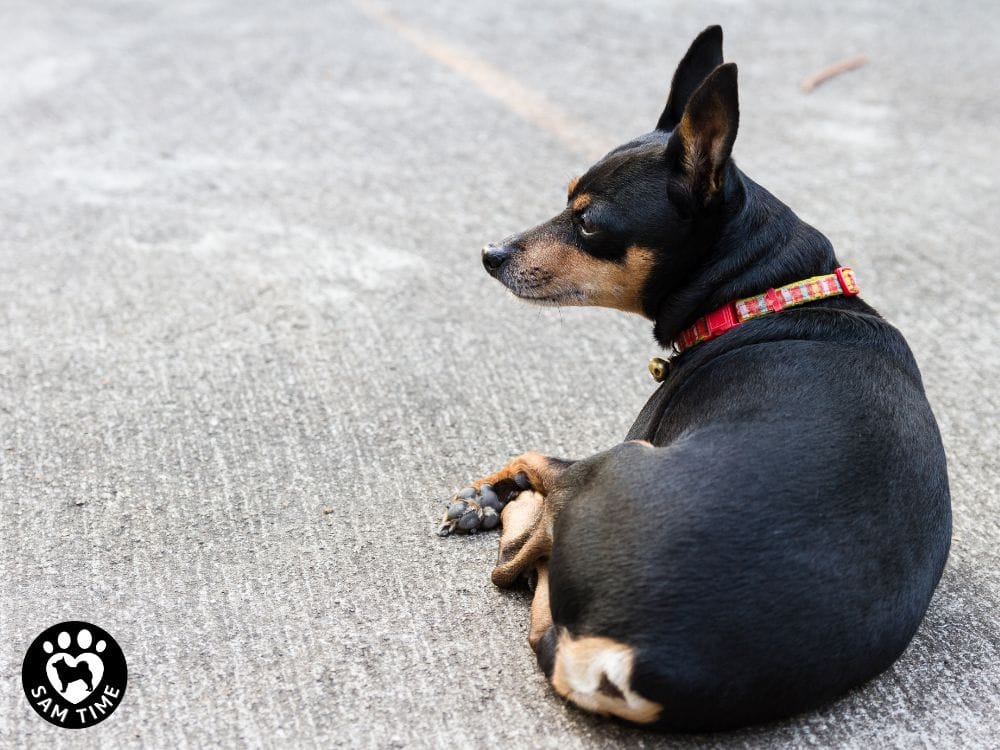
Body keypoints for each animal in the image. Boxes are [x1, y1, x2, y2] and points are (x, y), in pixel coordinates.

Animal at [440, 26, 952, 732]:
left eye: (588, 221)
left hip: (620, 459)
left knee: (519, 558)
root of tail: (637, 661)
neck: (762, 294)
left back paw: (508, 506)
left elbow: (533, 474)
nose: (490, 254)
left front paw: (489, 497)